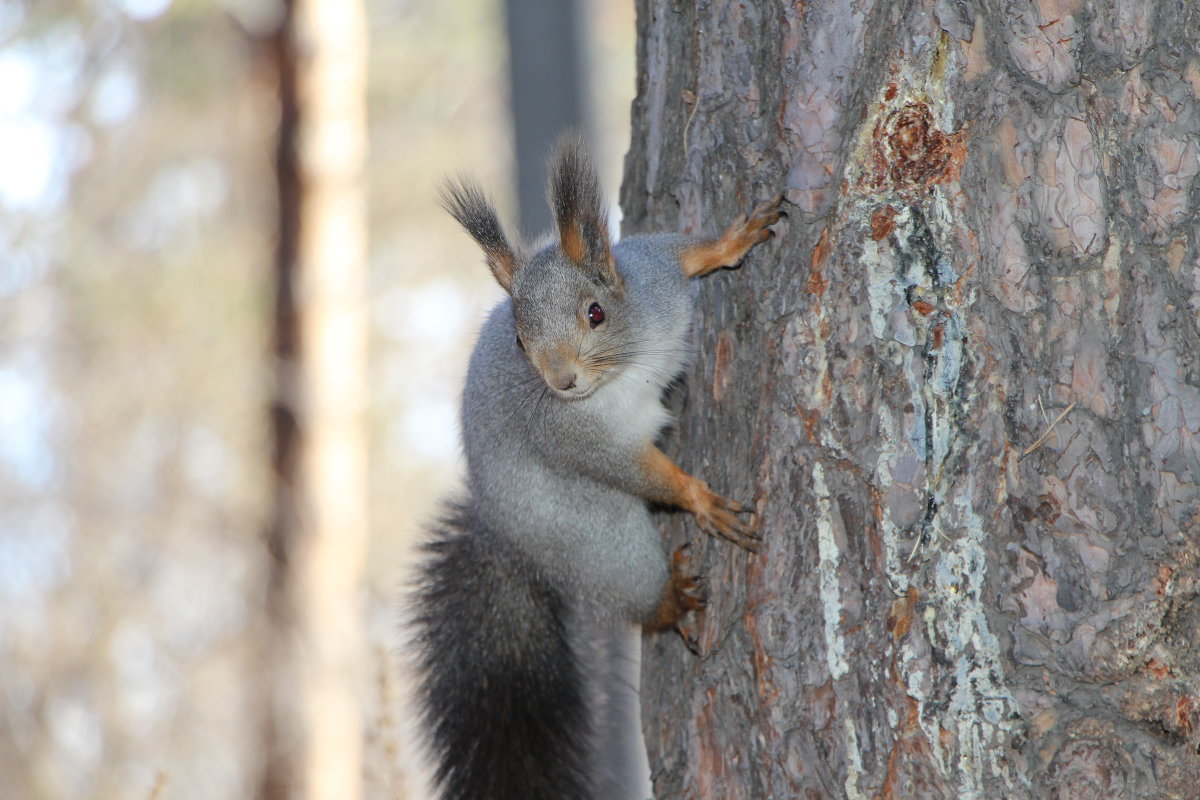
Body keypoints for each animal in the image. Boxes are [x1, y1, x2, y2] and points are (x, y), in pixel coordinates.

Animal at [410, 134, 787, 796]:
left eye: (595, 313)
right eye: (519, 340)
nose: (560, 382)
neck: (623, 369)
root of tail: (503, 533)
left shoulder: (654, 278)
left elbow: (681, 252)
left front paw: (732, 240)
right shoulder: (579, 439)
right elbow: (638, 471)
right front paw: (700, 499)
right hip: (599, 542)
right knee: (636, 590)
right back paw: (670, 600)